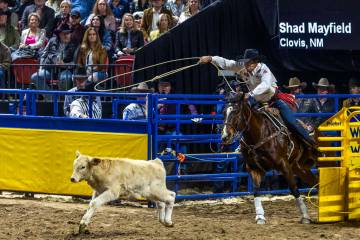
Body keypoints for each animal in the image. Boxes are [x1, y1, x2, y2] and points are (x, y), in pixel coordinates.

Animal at [222, 93, 318, 224]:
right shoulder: (254, 168)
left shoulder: (283, 164)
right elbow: (256, 190)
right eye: (224, 112)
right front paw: (260, 216)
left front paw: (305, 216)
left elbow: (294, 188)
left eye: (236, 111)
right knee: (316, 182)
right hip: (300, 168)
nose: (225, 136)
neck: (259, 134)